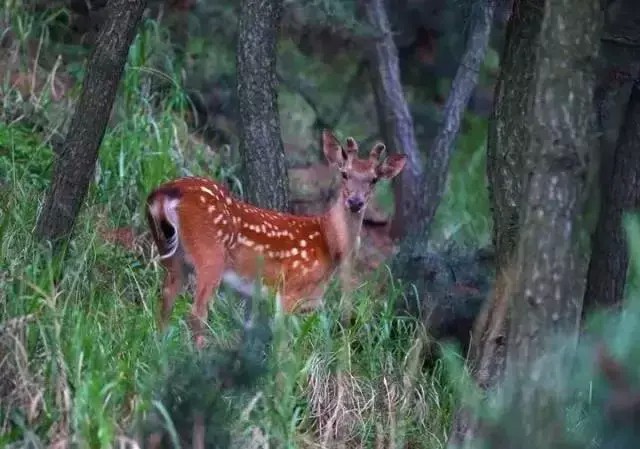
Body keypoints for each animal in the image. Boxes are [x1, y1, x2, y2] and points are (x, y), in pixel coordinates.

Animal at [146, 130, 404, 346]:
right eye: (344, 174)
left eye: (374, 179)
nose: (355, 202)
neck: (329, 242)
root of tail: (167, 192)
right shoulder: (290, 288)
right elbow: (283, 341)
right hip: (210, 255)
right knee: (196, 313)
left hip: (173, 255)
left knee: (164, 303)